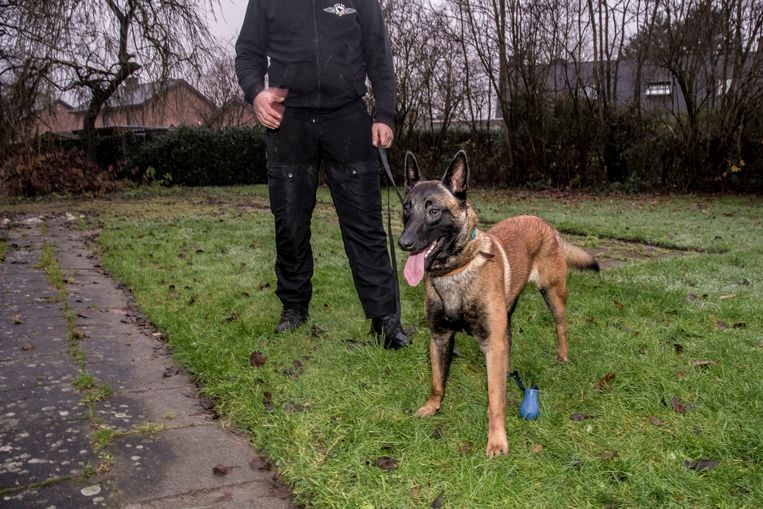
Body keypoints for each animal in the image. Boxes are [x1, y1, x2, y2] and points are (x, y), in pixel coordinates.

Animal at [396, 151, 600, 456]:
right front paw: (432, 407)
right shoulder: (439, 337)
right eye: (407, 208)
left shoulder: (491, 344)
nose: (403, 243)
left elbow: (494, 401)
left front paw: (497, 440)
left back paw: (561, 356)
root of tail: (544, 222)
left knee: (561, 325)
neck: (456, 271)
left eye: (434, 211)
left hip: (553, 294)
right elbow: (437, 381)